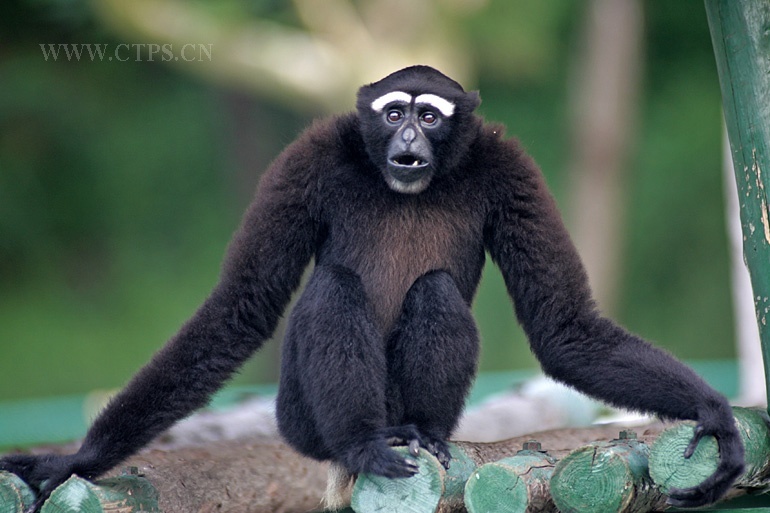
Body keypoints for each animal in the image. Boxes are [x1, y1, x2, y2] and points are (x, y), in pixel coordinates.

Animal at [1, 65, 744, 511]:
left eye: (430, 116)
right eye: (392, 114)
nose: (409, 133)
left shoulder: (512, 168)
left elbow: (563, 325)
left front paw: (713, 412)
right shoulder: (304, 159)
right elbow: (240, 305)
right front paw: (76, 460)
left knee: (436, 290)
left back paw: (420, 430)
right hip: (296, 415)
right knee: (333, 287)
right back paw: (362, 441)